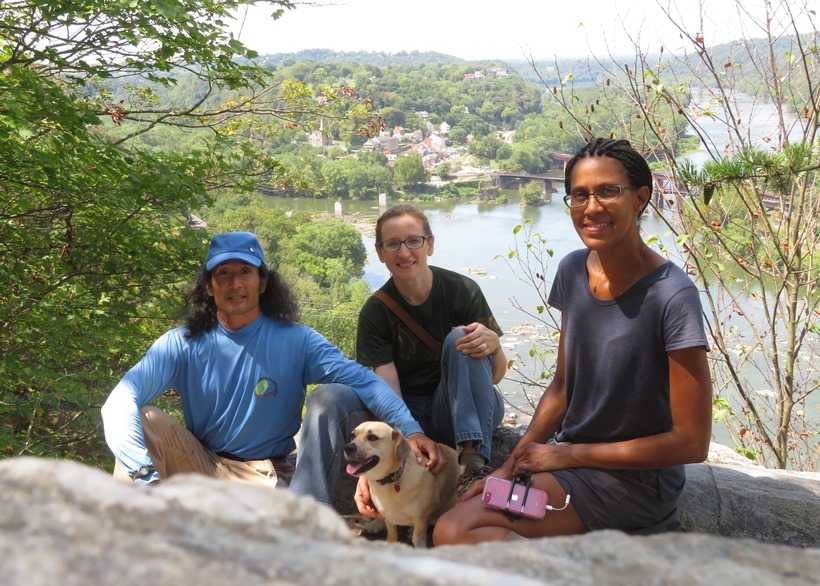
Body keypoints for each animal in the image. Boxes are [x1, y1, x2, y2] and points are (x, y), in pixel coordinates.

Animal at [344, 420, 462, 548]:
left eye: (372, 437)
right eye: (352, 436)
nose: (348, 447)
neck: (389, 480)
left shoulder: (421, 518)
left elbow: (417, 539)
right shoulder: (388, 517)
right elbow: (392, 534)